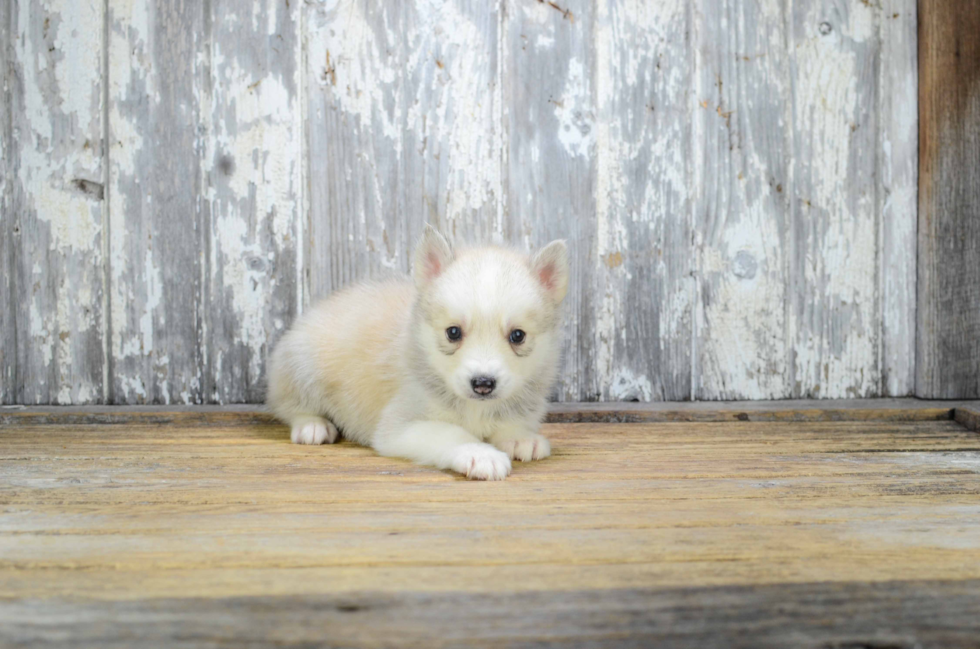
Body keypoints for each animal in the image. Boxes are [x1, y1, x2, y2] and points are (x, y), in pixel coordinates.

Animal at [264, 225, 568, 478]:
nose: (483, 384)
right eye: (453, 332)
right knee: (290, 406)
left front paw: (520, 437)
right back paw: (313, 426)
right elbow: (450, 433)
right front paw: (480, 454)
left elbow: (510, 421)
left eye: (518, 336)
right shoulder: (401, 425)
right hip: (301, 366)